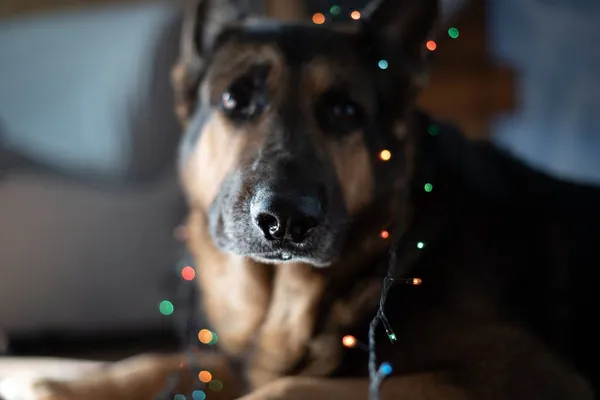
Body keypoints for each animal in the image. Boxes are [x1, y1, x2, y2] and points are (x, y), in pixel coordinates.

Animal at [1, 0, 600, 398]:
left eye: (344, 111)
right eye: (235, 100)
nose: (285, 221)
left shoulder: (523, 369)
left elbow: (289, 388)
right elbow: (165, 358)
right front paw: (66, 382)